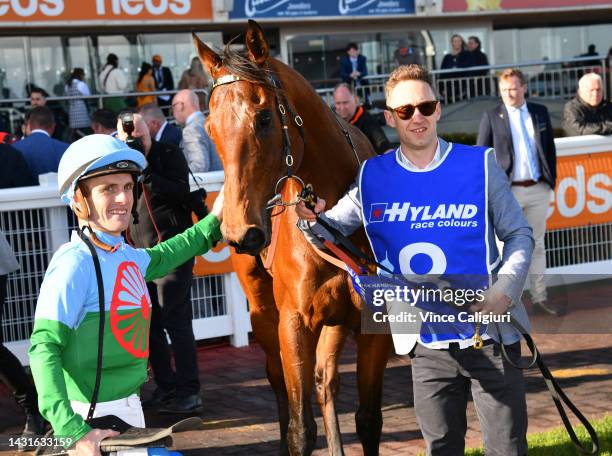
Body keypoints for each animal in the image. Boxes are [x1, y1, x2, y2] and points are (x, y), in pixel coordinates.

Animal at [195, 22, 392, 456]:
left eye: (264, 117)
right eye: (210, 127)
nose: (241, 231)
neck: (332, 218)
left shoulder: (372, 320)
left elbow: (368, 419)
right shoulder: (293, 323)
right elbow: (301, 428)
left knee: (326, 379)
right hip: (262, 309)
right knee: (277, 379)